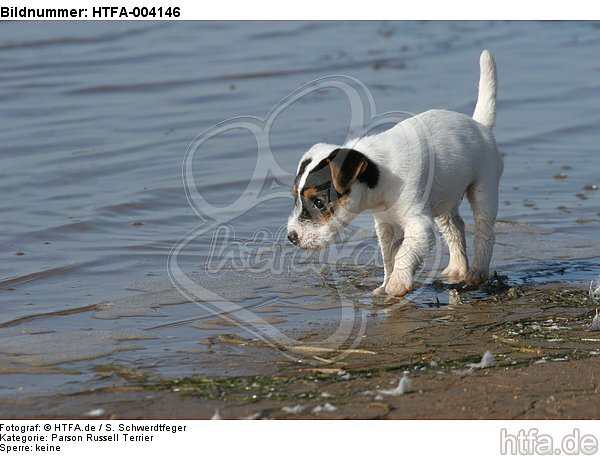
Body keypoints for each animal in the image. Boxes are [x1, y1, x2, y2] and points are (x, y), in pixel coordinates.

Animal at [286, 51, 502, 298]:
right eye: (295, 197)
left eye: (319, 202)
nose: (291, 237)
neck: (380, 174)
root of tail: (479, 126)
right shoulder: (386, 226)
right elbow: (389, 257)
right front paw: (384, 285)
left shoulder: (419, 225)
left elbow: (403, 254)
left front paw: (397, 284)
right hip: (444, 200)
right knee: (455, 227)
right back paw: (457, 268)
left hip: (484, 188)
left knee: (485, 231)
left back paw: (477, 273)